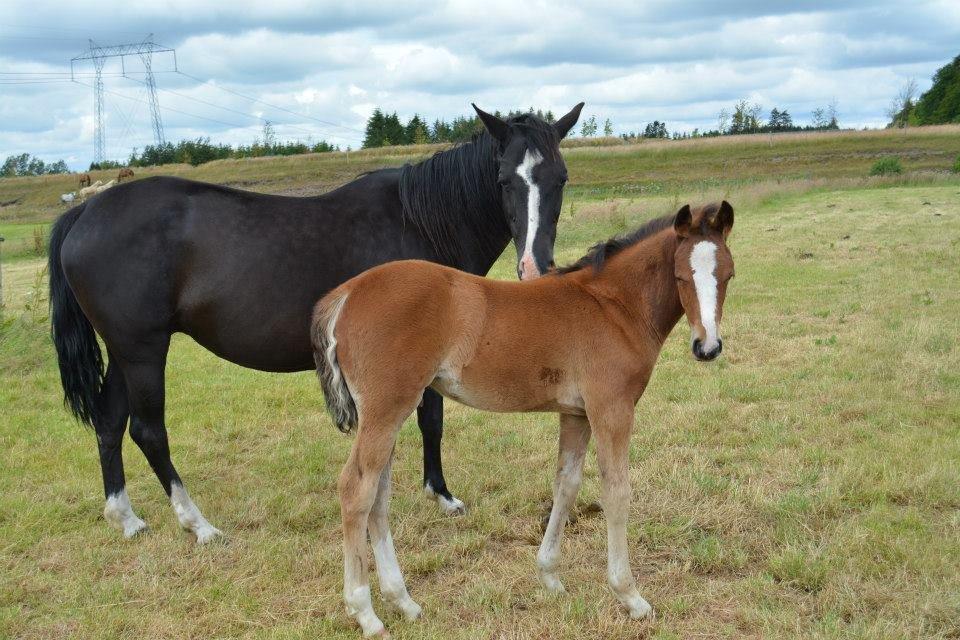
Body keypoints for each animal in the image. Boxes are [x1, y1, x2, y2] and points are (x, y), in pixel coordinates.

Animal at [47, 102, 584, 544]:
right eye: (504, 180)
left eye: (560, 178)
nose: (535, 267)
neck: (419, 223)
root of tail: (85, 213)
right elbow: (429, 420)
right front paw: (441, 495)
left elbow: (428, 424)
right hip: (142, 350)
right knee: (148, 431)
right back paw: (197, 524)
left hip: (125, 351)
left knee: (109, 423)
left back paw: (127, 519)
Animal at [314, 202, 736, 636]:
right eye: (681, 276)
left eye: (728, 275)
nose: (707, 347)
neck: (613, 307)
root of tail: (346, 294)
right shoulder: (612, 409)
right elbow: (617, 493)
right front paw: (630, 597)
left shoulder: (576, 414)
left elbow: (566, 485)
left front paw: (549, 576)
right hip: (385, 410)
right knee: (357, 490)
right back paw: (366, 613)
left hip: (389, 414)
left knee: (378, 496)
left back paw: (403, 602)